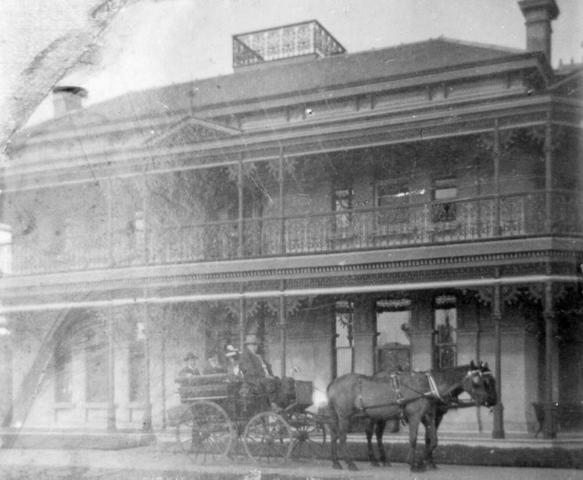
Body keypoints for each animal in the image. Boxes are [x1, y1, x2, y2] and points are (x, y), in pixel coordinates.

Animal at [328, 362, 498, 470]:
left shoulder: (429, 416)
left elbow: (432, 440)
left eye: (492, 380)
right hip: (345, 416)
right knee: (344, 437)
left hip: (355, 416)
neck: (428, 387)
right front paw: (414, 463)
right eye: (479, 382)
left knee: (336, 435)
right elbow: (414, 439)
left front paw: (424, 462)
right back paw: (351, 463)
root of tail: (333, 383)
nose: (493, 400)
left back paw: (338, 462)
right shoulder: (415, 416)